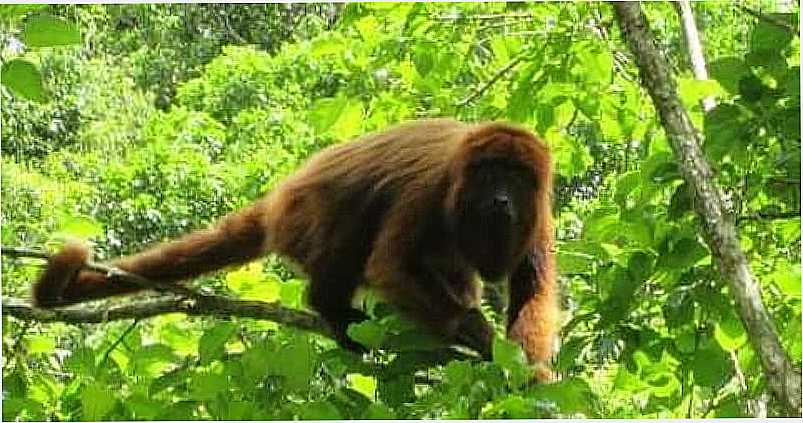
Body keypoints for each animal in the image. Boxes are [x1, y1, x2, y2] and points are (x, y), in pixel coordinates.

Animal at [33, 118, 560, 380]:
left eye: (516, 176)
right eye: (490, 172)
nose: (501, 199)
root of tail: (281, 195)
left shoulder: (541, 214)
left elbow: (533, 291)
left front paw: (528, 371)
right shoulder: (430, 189)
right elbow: (390, 265)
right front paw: (474, 330)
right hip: (307, 213)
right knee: (350, 225)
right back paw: (334, 311)